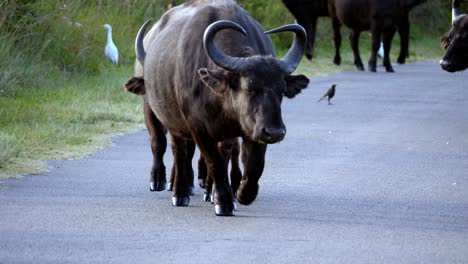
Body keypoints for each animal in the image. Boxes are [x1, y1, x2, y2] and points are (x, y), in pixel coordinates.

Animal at [126, 0, 308, 217]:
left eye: (281, 91)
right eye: (250, 88)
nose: (276, 132)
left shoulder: (252, 130)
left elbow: (254, 164)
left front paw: (243, 192)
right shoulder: (198, 129)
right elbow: (215, 162)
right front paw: (223, 201)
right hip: (170, 120)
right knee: (176, 151)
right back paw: (178, 192)